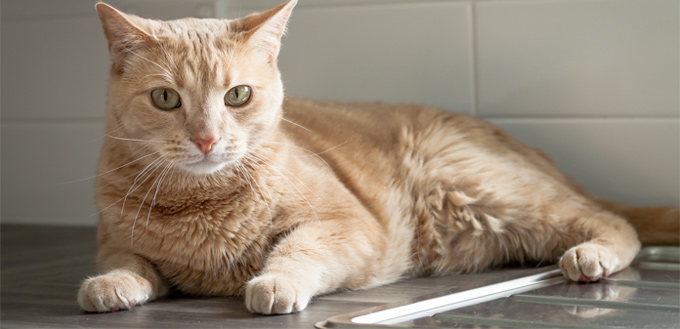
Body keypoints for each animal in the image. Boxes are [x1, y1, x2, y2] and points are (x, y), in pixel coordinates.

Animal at [77, 0, 676, 314]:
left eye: (237, 96)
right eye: (166, 99)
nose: (206, 139)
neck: (201, 204)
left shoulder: (350, 226)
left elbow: (297, 248)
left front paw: (276, 280)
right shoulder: (115, 241)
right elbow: (126, 263)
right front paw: (112, 285)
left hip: (488, 191)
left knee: (613, 221)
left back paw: (592, 254)